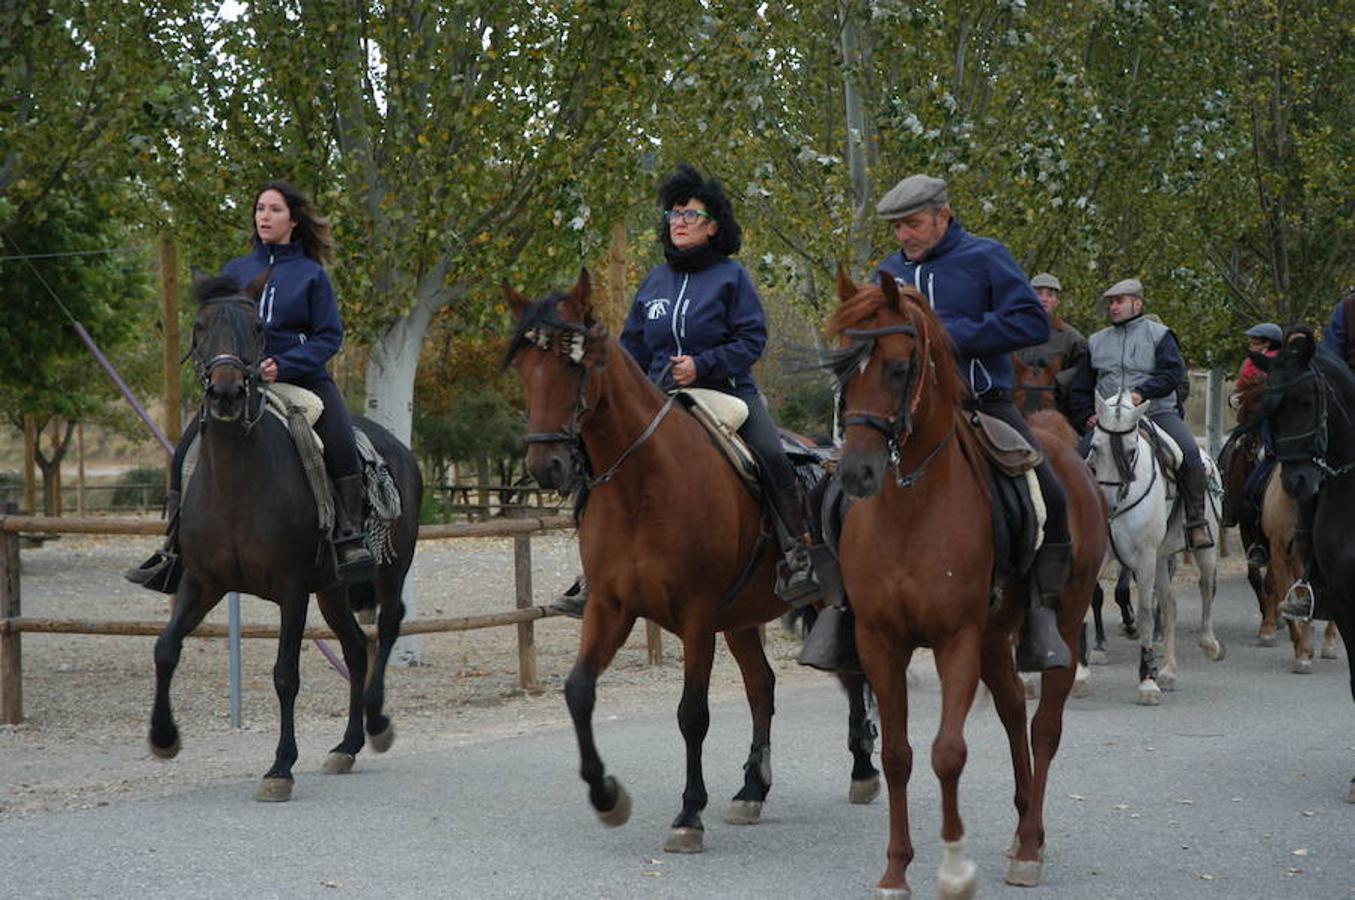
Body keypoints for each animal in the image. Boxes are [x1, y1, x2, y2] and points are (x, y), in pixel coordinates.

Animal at [148, 273, 422, 802]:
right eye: (200, 325)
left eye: (257, 327)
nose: (227, 393)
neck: (237, 480)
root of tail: (398, 448)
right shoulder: (201, 581)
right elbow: (166, 648)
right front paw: (164, 737)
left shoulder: (292, 589)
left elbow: (284, 675)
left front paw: (280, 767)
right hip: (333, 588)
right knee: (355, 648)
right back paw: (346, 746)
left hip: (391, 569)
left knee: (388, 626)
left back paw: (377, 723)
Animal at [506, 271, 878, 856]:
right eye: (524, 366)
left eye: (574, 363)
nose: (548, 466)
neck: (643, 483)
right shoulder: (611, 607)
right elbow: (579, 691)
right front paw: (607, 796)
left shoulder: (697, 615)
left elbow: (692, 714)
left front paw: (688, 814)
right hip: (744, 617)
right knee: (762, 686)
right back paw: (752, 789)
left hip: (829, 602)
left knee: (852, 671)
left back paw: (863, 770)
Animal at [823, 276, 1111, 900]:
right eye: (841, 371)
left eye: (899, 367)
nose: (857, 473)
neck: (910, 509)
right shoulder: (881, 642)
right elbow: (900, 754)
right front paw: (896, 870)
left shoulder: (956, 638)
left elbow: (948, 752)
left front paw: (954, 867)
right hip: (994, 638)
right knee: (1011, 708)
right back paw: (1025, 825)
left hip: (1062, 622)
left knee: (1044, 728)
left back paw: (1029, 845)